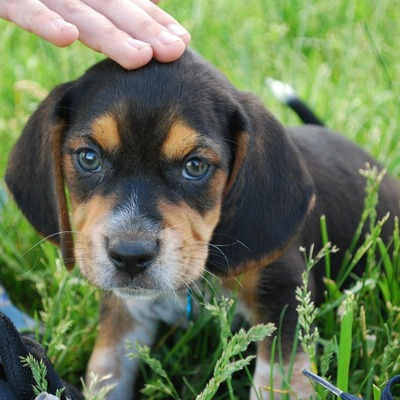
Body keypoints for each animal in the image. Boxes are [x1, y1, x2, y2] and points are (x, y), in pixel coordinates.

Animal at [5, 50, 400, 400]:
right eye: (88, 158)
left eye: (195, 166)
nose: (129, 255)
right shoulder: (125, 314)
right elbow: (106, 372)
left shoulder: (283, 296)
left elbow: (277, 381)